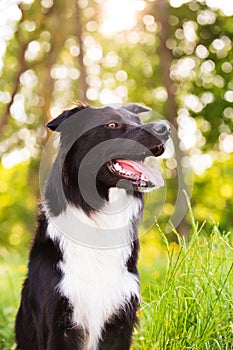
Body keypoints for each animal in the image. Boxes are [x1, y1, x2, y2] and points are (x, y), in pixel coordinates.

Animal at [15, 102, 169, 348]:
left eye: (137, 121)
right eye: (112, 124)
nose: (165, 129)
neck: (100, 216)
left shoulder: (121, 321)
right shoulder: (58, 321)